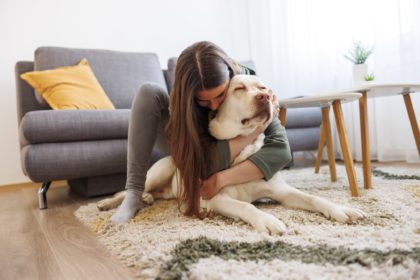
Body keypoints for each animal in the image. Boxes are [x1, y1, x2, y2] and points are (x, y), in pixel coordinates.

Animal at [97, 75, 364, 235]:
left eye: (263, 88)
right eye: (239, 89)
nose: (264, 97)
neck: (241, 152)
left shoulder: (282, 192)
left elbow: (314, 199)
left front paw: (342, 209)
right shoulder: (217, 198)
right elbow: (246, 207)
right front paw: (268, 221)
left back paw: (149, 198)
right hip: (160, 170)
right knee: (128, 189)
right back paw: (110, 204)